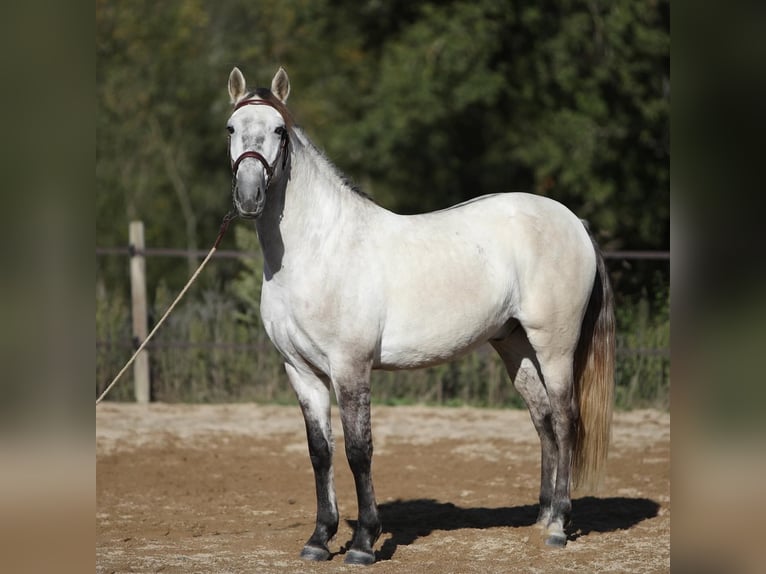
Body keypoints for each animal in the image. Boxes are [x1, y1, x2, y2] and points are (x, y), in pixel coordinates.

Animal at [225, 67, 616, 568]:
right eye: (231, 129)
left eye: (279, 131)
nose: (249, 195)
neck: (318, 248)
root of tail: (574, 222)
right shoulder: (301, 370)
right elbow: (320, 452)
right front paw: (319, 539)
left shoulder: (350, 367)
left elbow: (358, 450)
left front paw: (363, 544)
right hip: (515, 345)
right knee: (543, 419)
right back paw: (542, 517)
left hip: (555, 346)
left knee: (566, 420)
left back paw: (559, 528)